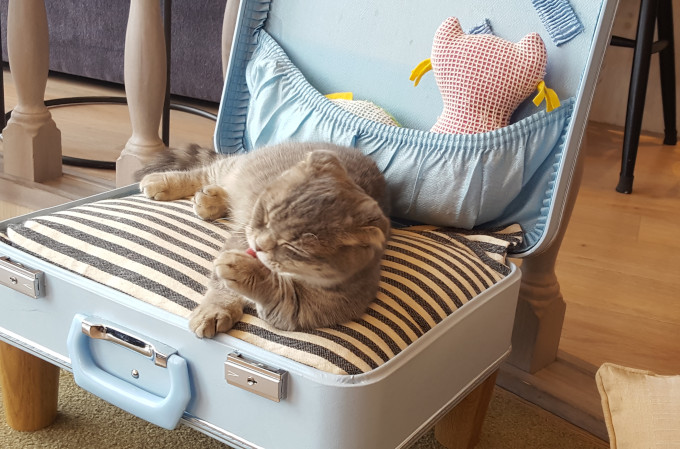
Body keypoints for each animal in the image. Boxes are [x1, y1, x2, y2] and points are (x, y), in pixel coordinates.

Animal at [138, 142, 390, 338]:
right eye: (266, 214)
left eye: (293, 247)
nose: (259, 245)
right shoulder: (243, 235)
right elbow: (222, 289)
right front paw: (216, 307)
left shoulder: (306, 310)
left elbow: (277, 293)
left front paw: (246, 271)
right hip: (235, 168)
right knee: (207, 172)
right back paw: (163, 183)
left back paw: (211, 201)